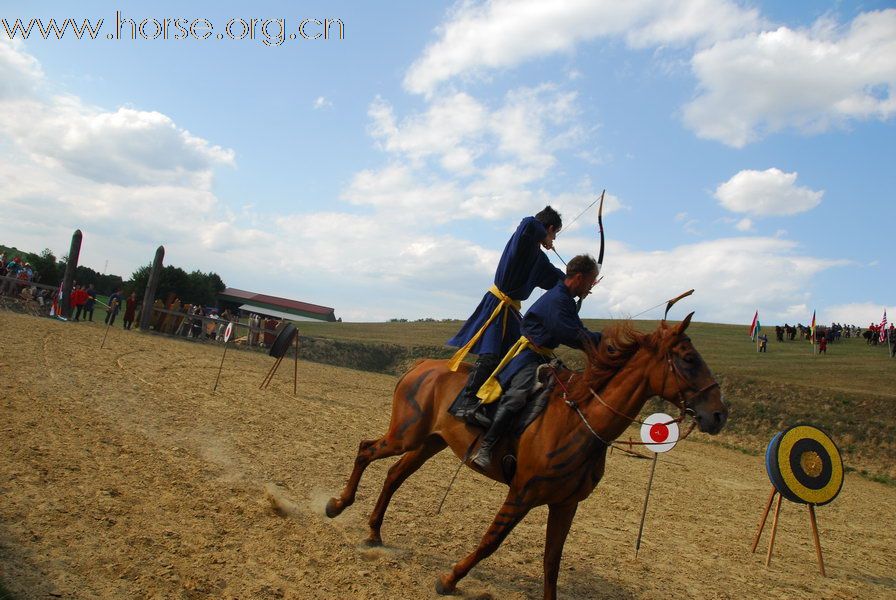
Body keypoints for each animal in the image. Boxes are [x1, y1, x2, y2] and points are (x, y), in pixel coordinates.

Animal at [326, 316, 724, 596]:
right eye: (688, 359)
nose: (719, 415)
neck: (580, 421)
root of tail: (423, 365)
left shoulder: (565, 505)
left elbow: (551, 563)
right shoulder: (522, 494)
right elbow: (491, 541)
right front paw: (450, 579)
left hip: (428, 443)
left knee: (394, 475)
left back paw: (374, 532)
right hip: (406, 435)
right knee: (366, 450)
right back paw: (337, 504)